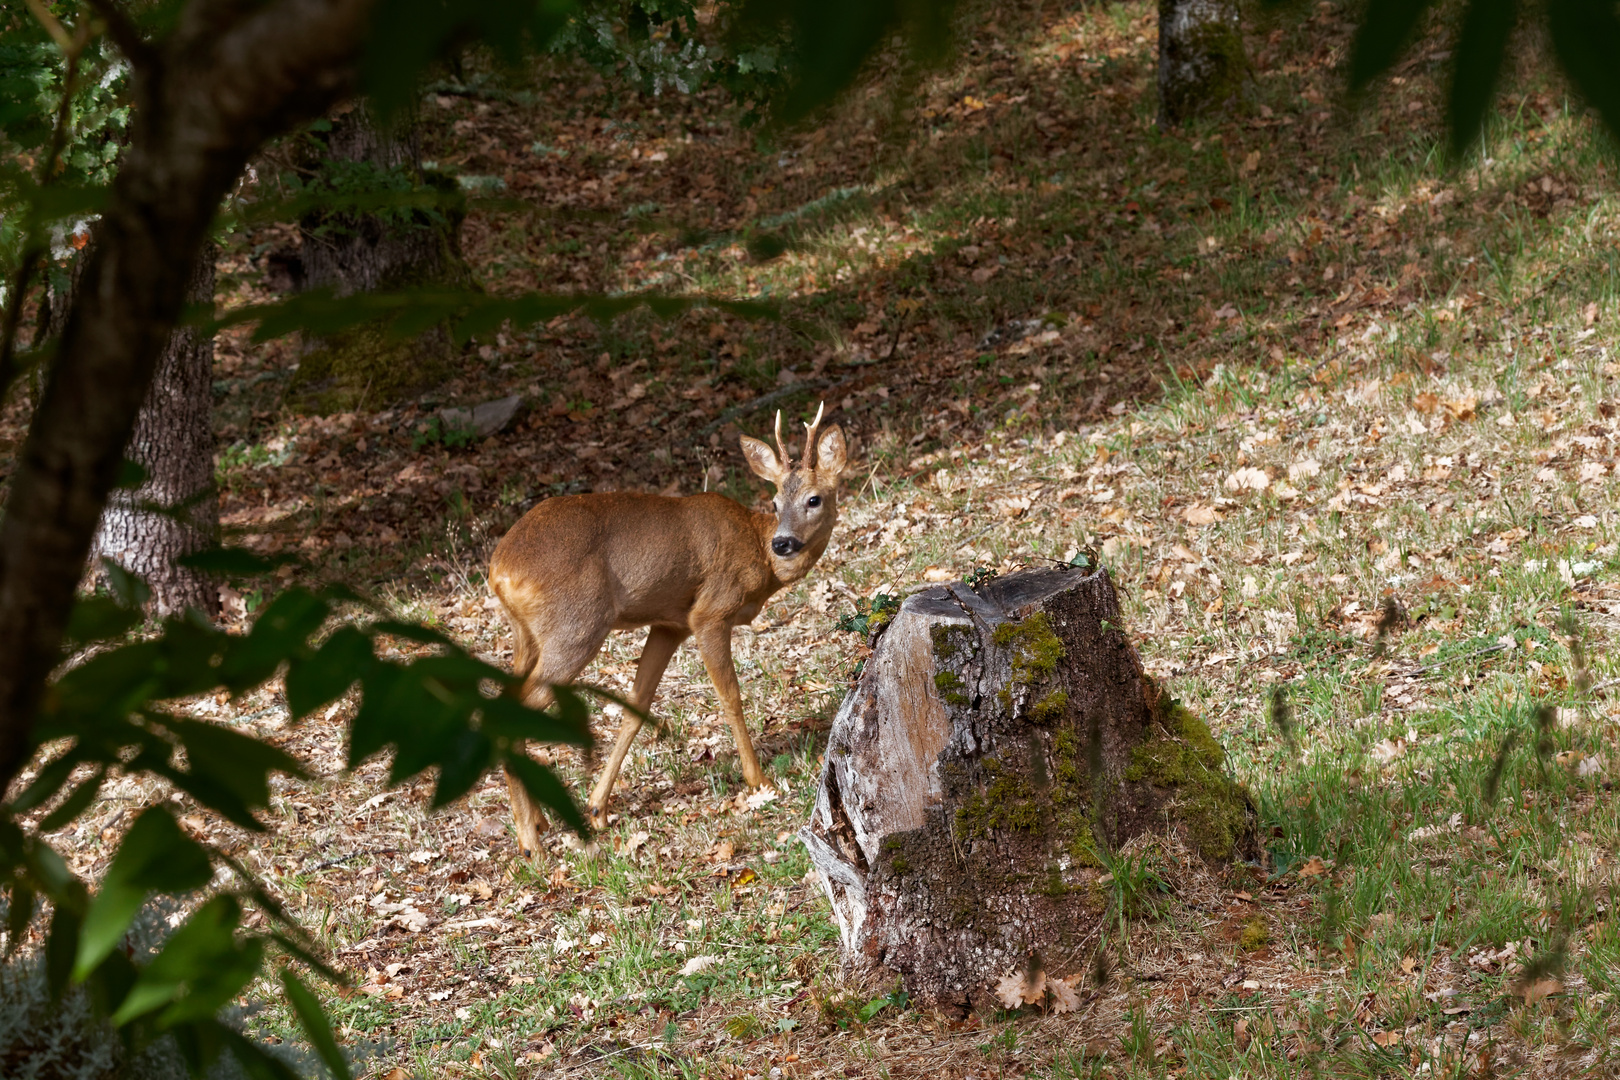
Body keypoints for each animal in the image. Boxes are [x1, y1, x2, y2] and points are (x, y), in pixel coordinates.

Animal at [489, 401, 848, 848]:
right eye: (776, 501)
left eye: (814, 499)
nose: (782, 543)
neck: (758, 556)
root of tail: (499, 571)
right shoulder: (709, 611)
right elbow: (730, 695)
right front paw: (758, 780)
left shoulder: (670, 624)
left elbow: (636, 705)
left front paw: (598, 808)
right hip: (574, 630)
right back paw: (530, 842)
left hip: (527, 637)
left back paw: (537, 823)